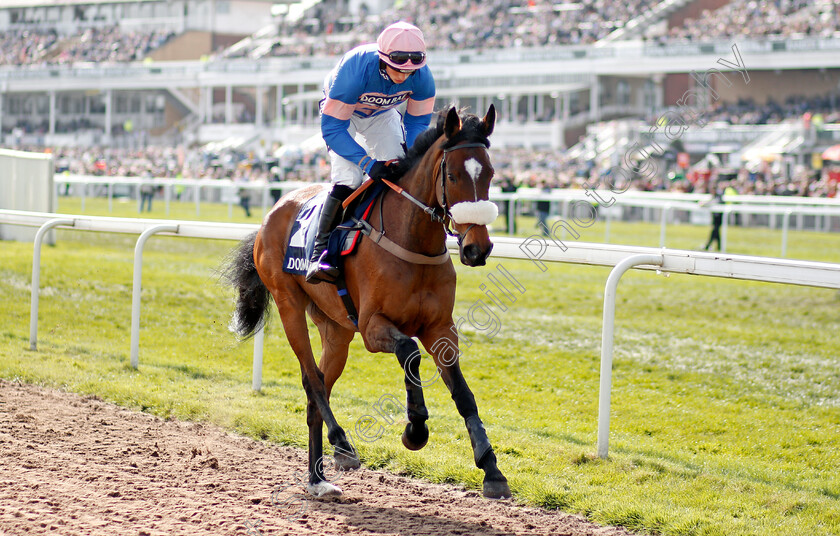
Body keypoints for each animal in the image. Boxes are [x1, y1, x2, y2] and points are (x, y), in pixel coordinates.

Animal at [225, 104, 512, 498]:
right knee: (312, 380)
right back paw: (342, 444)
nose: (477, 248)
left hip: (336, 330)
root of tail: (273, 210)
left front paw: (492, 469)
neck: (412, 241)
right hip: (289, 306)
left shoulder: (441, 328)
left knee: (317, 391)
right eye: (453, 175)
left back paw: (317, 479)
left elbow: (463, 393)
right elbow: (409, 351)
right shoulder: (373, 326)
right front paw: (415, 430)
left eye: (491, 173)